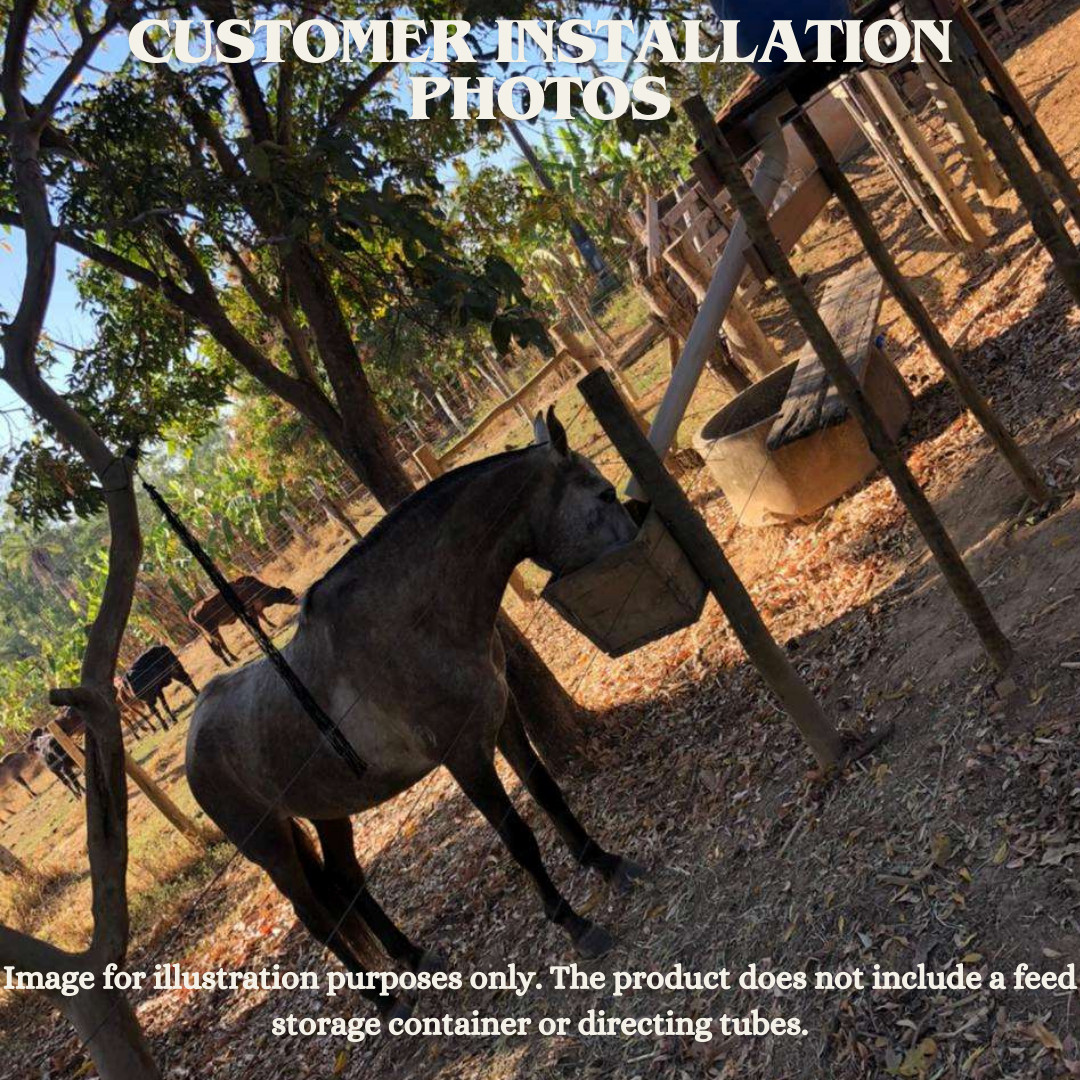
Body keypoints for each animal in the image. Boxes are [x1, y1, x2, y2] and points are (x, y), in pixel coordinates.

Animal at [187, 409, 645, 1021]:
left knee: (348, 884)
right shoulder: (465, 757)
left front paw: (606, 861)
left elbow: (547, 792)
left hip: (329, 812)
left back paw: (415, 958)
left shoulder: (503, 721)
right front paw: (574, 923)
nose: (639, 537)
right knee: (320, 921)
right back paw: (383, 1000)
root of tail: (195, 736)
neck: (413, 625)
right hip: (274, 849)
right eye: (603, 494)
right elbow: (517, 835)